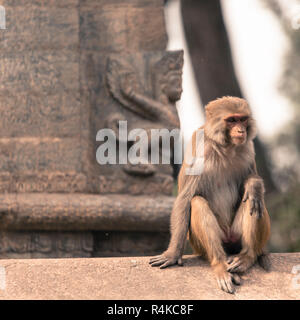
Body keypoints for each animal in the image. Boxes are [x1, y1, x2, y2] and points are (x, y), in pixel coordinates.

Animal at [149, 96, 270, 294]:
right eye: (231, 120)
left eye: (242, 119)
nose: (241, 130)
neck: (226, 146)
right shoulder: (199, 150)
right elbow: (185, 199)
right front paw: (172, 254)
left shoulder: (248, 148)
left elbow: (252, 179)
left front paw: (253, 185)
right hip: (202, 244)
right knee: (197, 202)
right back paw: (220, 265)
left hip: (236, 237)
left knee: (254, 202)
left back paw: (247, 256)